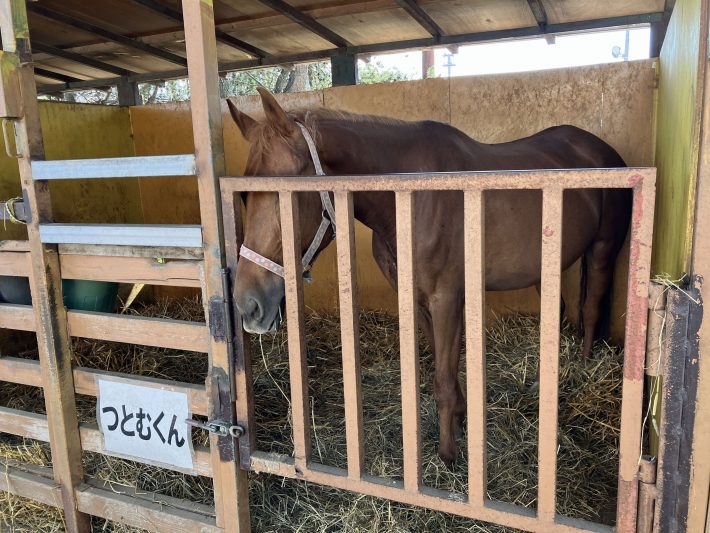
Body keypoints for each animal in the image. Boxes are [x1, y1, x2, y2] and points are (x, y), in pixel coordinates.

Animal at [228, 87, 631, 467]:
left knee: (592, 307)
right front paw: (461, 419)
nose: (247, 304)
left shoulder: (446, 298)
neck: (409, 200)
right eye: (244, 196)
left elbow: (443, 382)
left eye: (283, 197)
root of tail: (602, 150)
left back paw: (582, 369)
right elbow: (446, 367)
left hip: (602, 250)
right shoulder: (420, 299)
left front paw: (449, 456)